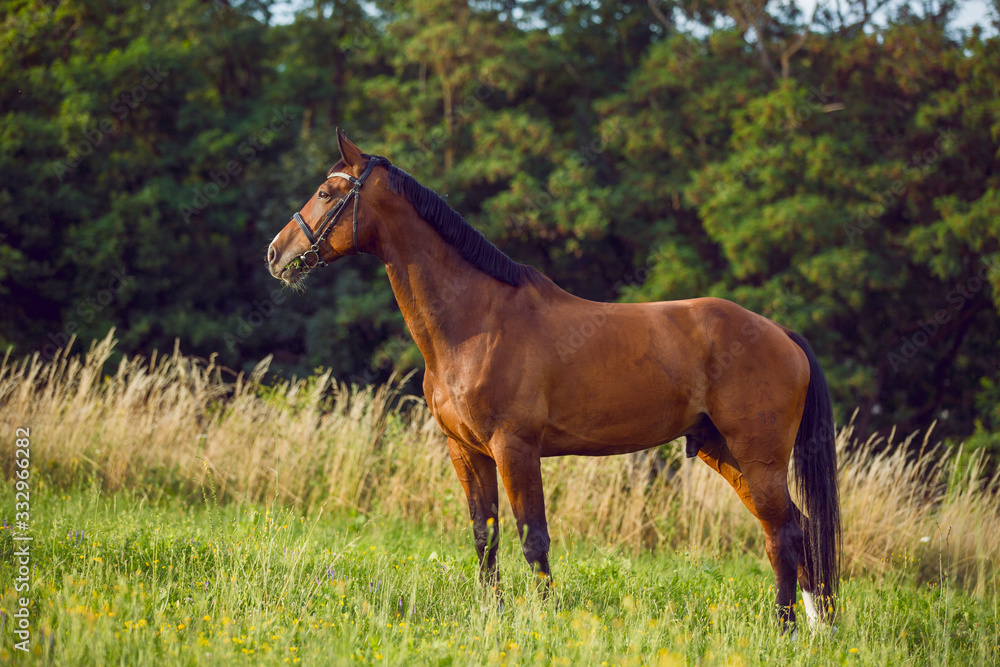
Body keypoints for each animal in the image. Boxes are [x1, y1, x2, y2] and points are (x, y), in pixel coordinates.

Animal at [266, 131, 841, 627]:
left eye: (326, 193)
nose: (276, 253)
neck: (477, 321)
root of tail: (780, 333)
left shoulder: (515, 449)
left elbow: (533, 539)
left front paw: (542, 620)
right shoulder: (466, 451)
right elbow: (486, 538)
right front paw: (492, 615)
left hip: (758, 458)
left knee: (784, 534)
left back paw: (786, 628)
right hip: (727, 454)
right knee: (796, 532)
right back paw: (817, 628)